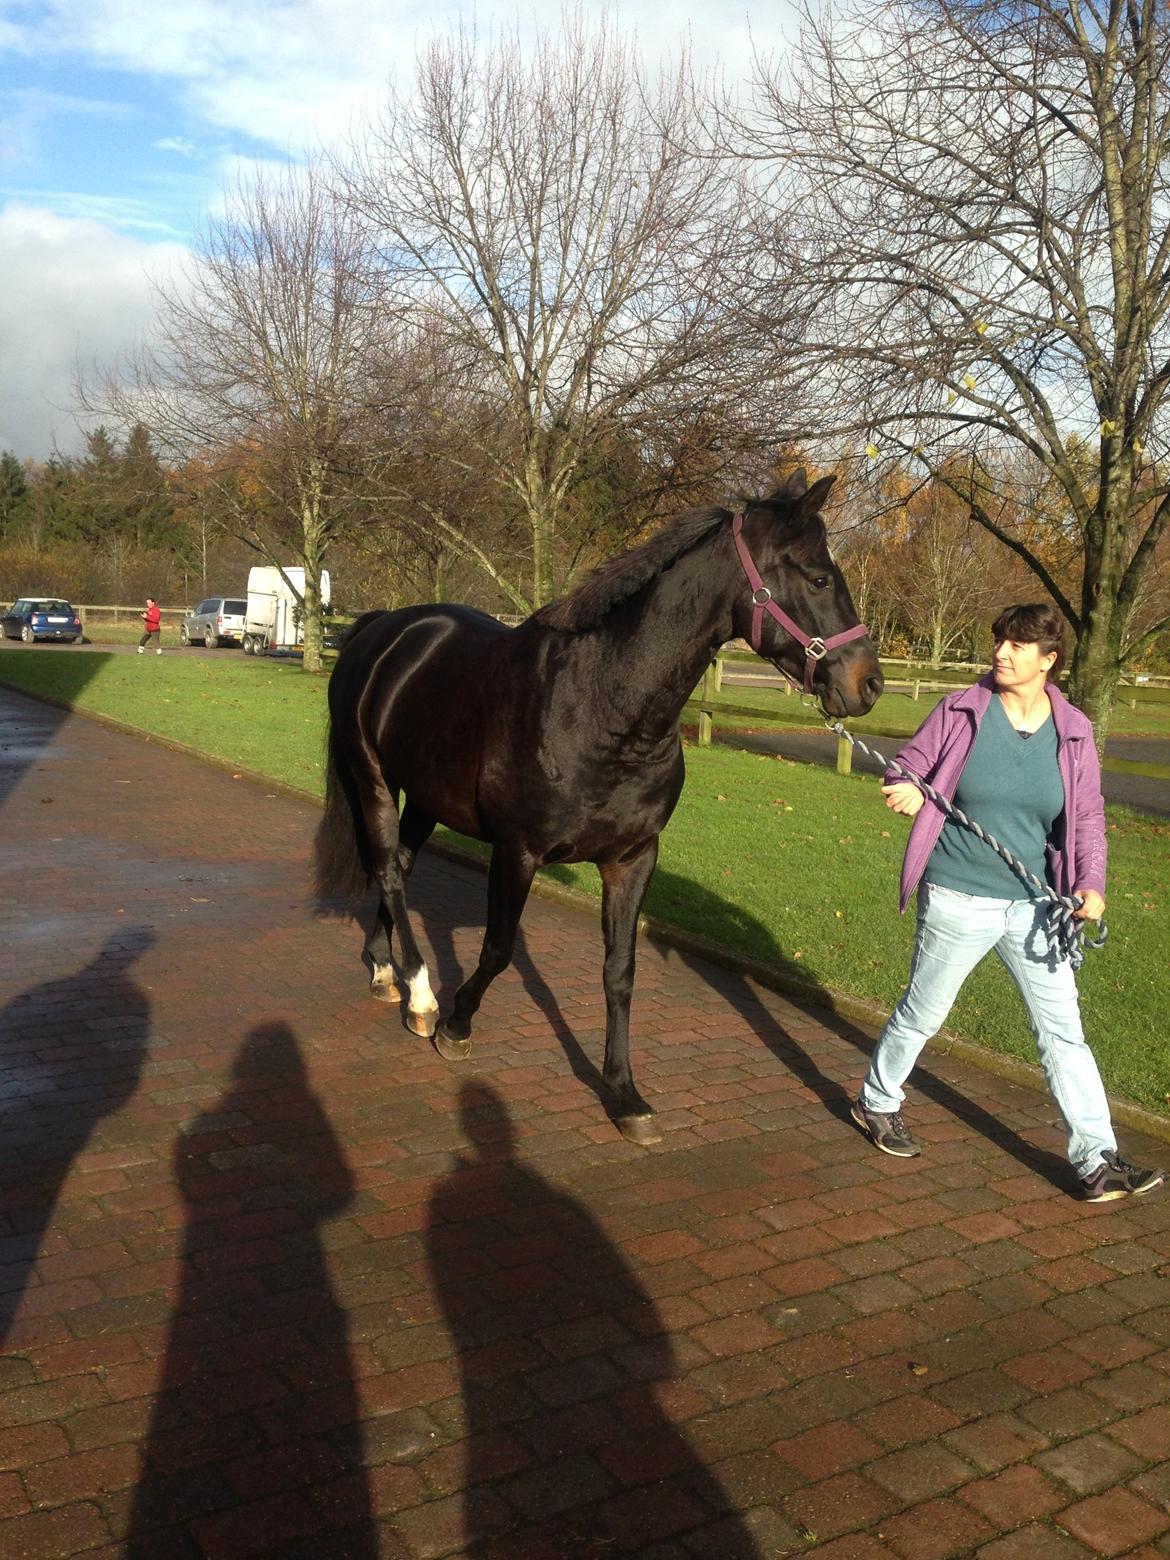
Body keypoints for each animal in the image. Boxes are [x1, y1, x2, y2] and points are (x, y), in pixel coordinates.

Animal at [316, 467, 886, 1141]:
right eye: (819, 577)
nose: (869, 683)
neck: (602, 706)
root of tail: (384, 630)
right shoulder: (518, 852)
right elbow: (498, 949)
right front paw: (456, 1025)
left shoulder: (632, 859)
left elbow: (620, 972)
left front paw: (624, 1094)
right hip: (373, 780)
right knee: (387, 871)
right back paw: (422, 996)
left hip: (426, 799)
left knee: (399, 868)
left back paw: (387, 971)